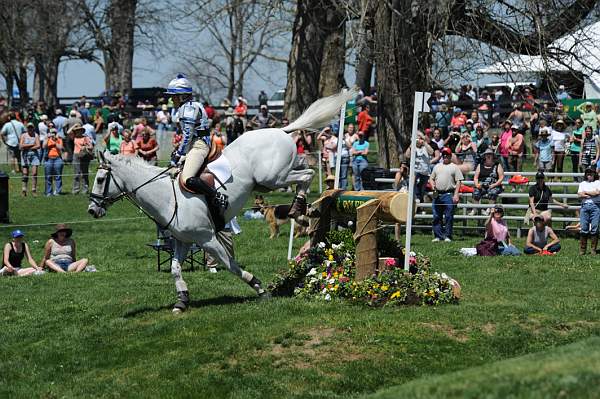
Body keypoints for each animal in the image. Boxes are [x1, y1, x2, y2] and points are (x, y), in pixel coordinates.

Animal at [88, 90, 352, 312]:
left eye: (100, 179)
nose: (92, 210)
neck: (168, 199)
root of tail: (280, 129)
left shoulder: (207, 239)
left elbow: (230, 265)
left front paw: (259, 287)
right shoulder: (184, 241)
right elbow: (175, 269)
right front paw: (182, 300)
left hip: (273, 177)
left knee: (307, 174)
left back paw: (298, 206)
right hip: (269, 181)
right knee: (305, 170)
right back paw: (298, 207)